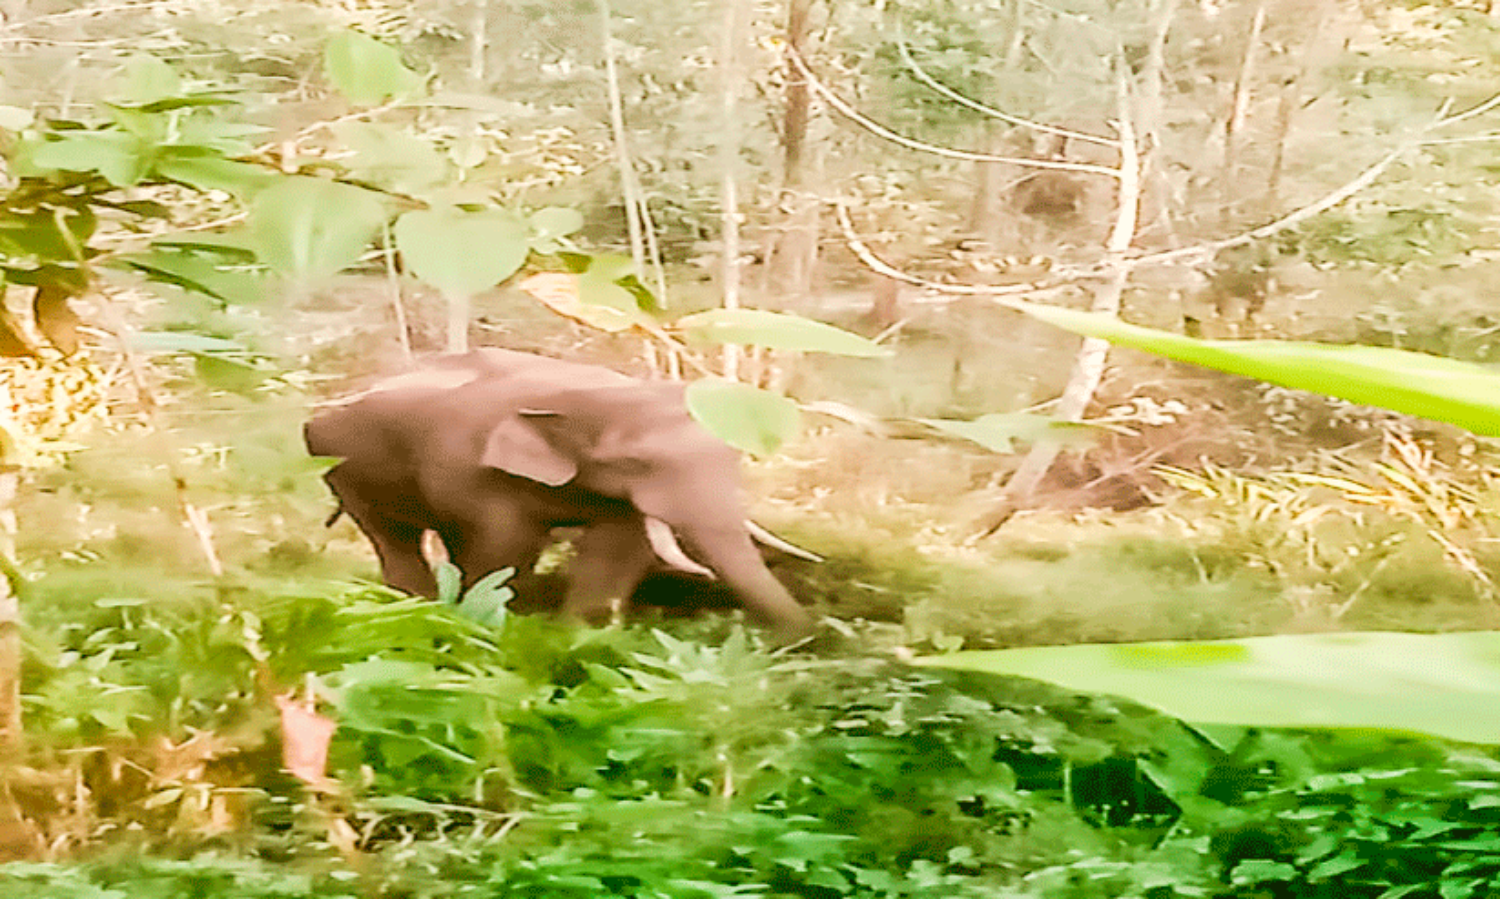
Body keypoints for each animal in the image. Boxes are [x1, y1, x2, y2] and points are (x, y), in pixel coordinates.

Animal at [303, 348, 815, 640]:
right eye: (636, 463)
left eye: (735, 458)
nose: (808, 636)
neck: (589, 394)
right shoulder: (471, 468)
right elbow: (506, 548)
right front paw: (493, 626)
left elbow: (618, 550)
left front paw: (580, 637)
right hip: (338, 466)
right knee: (393, 537)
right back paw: (415, 608)